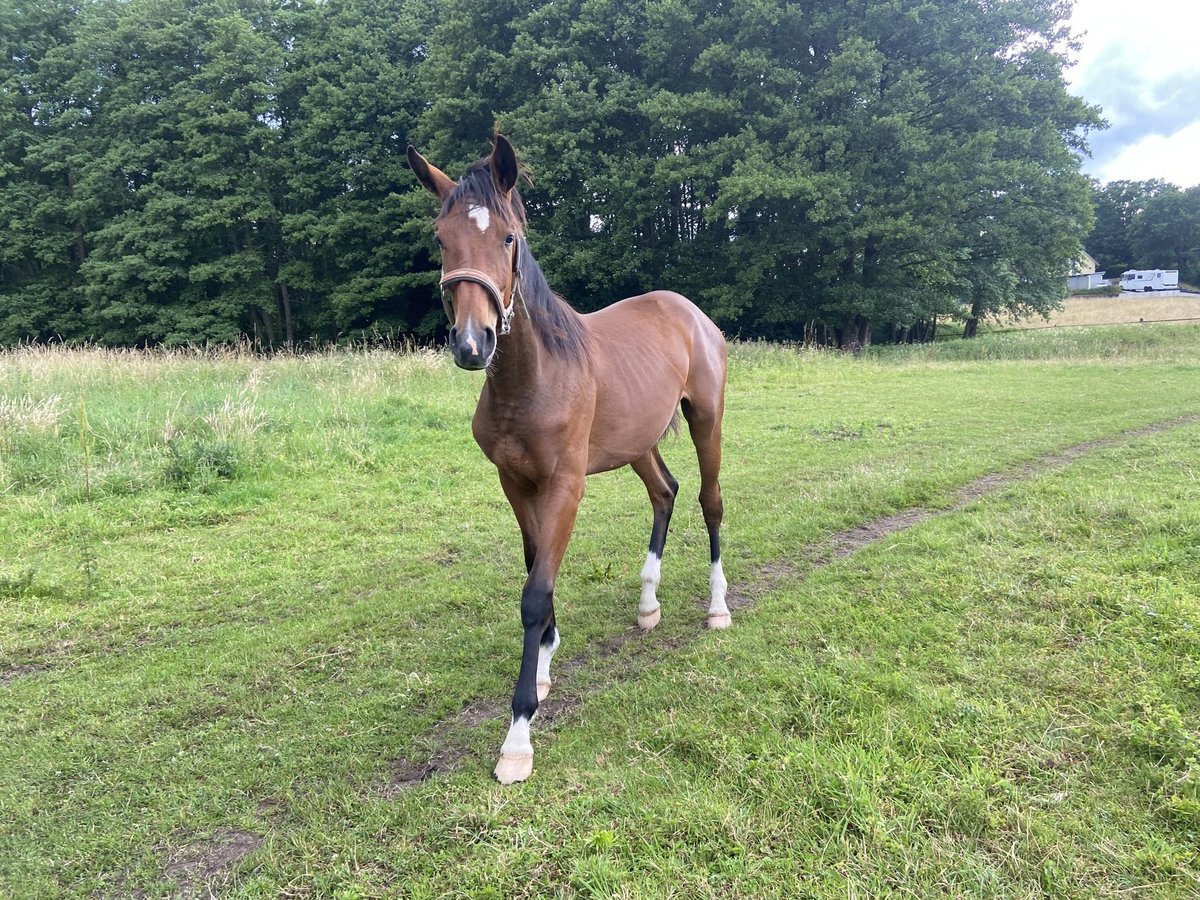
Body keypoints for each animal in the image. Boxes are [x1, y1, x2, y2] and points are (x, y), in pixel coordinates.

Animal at [405, 135, 729, 787]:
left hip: (706, 422)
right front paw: (546, 664)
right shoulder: (515, 483)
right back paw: (648, 605)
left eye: (508, 237)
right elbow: (537, 569)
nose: (472, 343)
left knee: (710, 501)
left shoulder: (565, 485)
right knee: (665, 491)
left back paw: (717, 607)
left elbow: (535, 592)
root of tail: (691, 313)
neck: (535, 377)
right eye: (441, 237)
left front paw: (518, 735)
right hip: (638, 441)